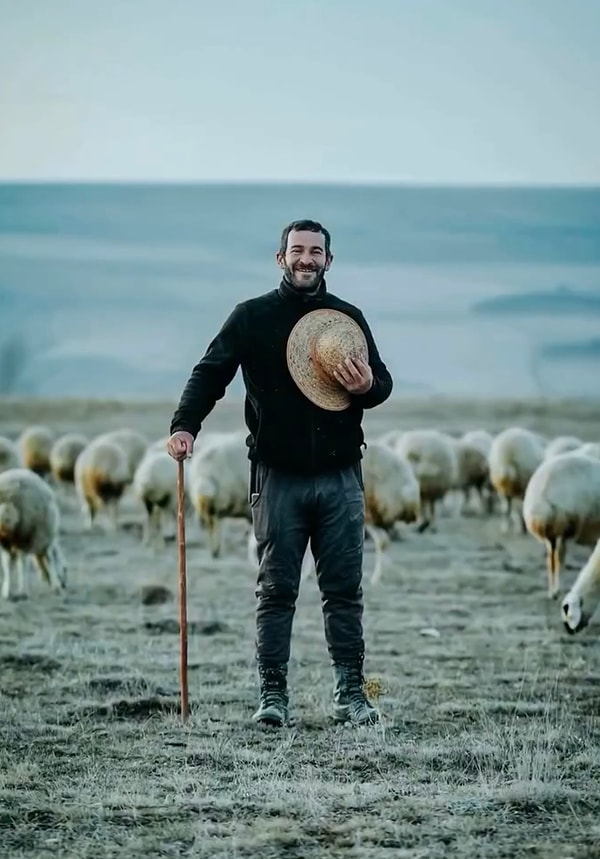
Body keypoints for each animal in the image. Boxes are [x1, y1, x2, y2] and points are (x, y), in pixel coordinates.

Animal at [520, 450, 600, 596]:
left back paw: (552, 591)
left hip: (552, 535)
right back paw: (557, 591)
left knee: (550, 560)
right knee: (559, 560)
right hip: (566, 528)